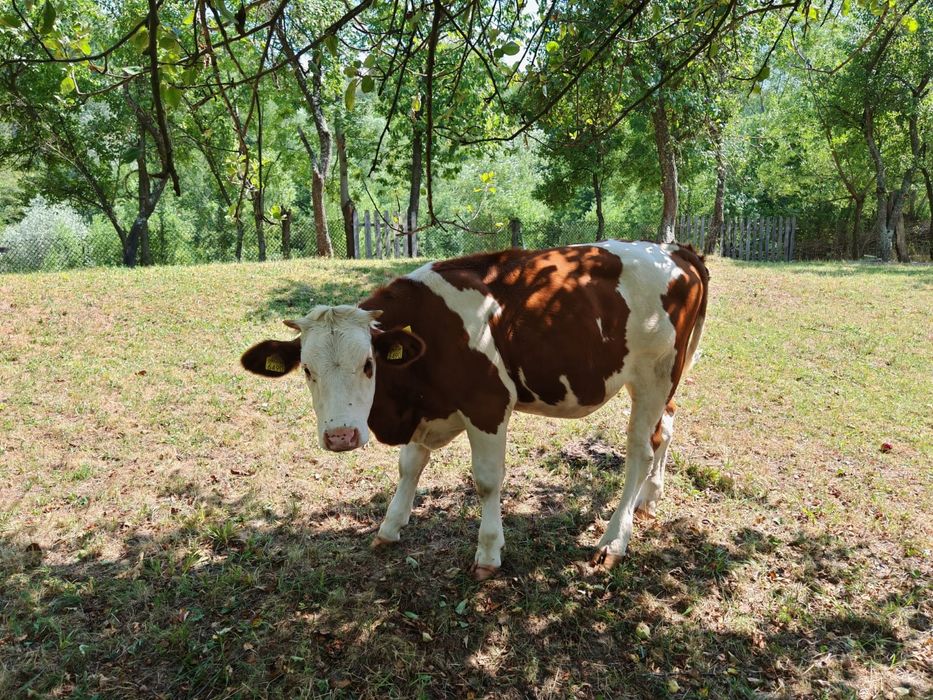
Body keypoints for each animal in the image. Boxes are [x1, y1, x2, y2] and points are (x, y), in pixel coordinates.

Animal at [241, 240, 709, 580]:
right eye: (307, 370)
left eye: (368, 364)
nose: (341, 436)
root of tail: (675, 250)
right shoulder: (431, 407)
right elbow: (410, 465)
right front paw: (390, 527)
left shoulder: (488, 404)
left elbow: (485, 481)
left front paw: (488, 552)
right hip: (667, 379)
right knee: (665, 429)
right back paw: (649, 498)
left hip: (654, 375)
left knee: (640, 450)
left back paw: (614, 539)